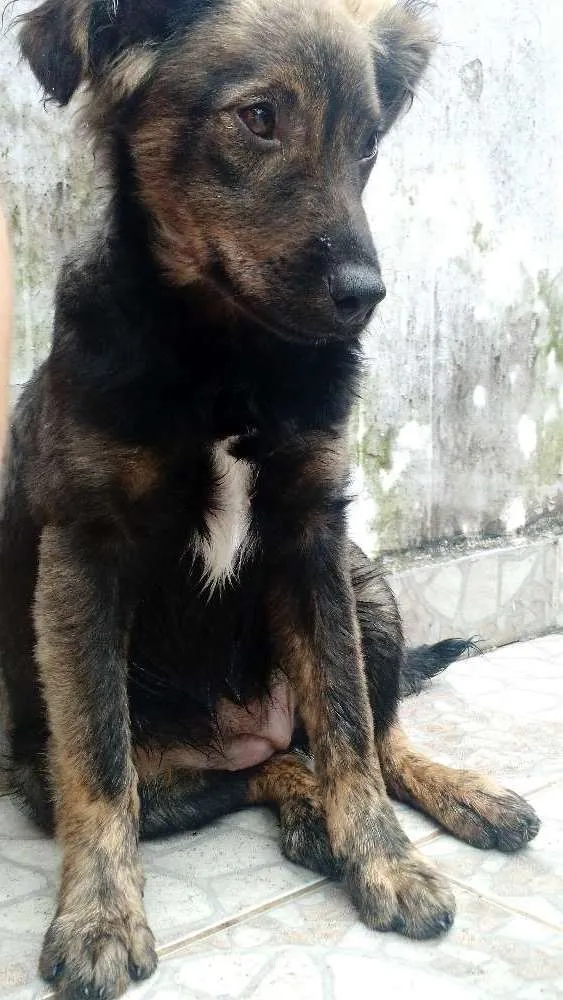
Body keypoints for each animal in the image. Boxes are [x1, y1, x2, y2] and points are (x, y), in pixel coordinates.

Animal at [0, 1, 540, 997]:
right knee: (259, 770)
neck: (229, 357)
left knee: (368, 734)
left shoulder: (314, 533)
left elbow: (352, 731)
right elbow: (100, 767)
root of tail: (246, 730)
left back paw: (458, 796)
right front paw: (99, 920)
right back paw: (305, 820)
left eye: (368, 145)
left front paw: (388, 864)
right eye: (258, 119)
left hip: (368, 585)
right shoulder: (84, 551)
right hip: (68, 768)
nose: (365, 297)